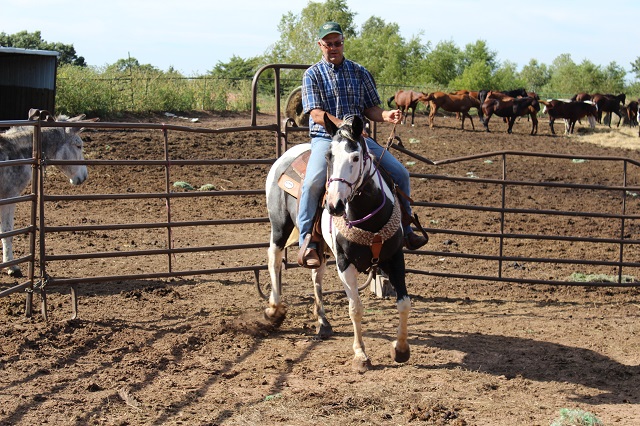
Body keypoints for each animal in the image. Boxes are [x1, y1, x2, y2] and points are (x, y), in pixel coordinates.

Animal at [264, 115, 410, 372]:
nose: (334, 205)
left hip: (318, 245)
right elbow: (355, 308)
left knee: (317, 274)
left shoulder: (394, 258)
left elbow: (403, 303)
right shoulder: (344, 263)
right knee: (274, 259)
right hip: (279, 225)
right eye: (329, 157)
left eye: (355, 157)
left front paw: (401, 349)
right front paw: (360, 355)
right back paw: (274, 310)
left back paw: (322, 322)